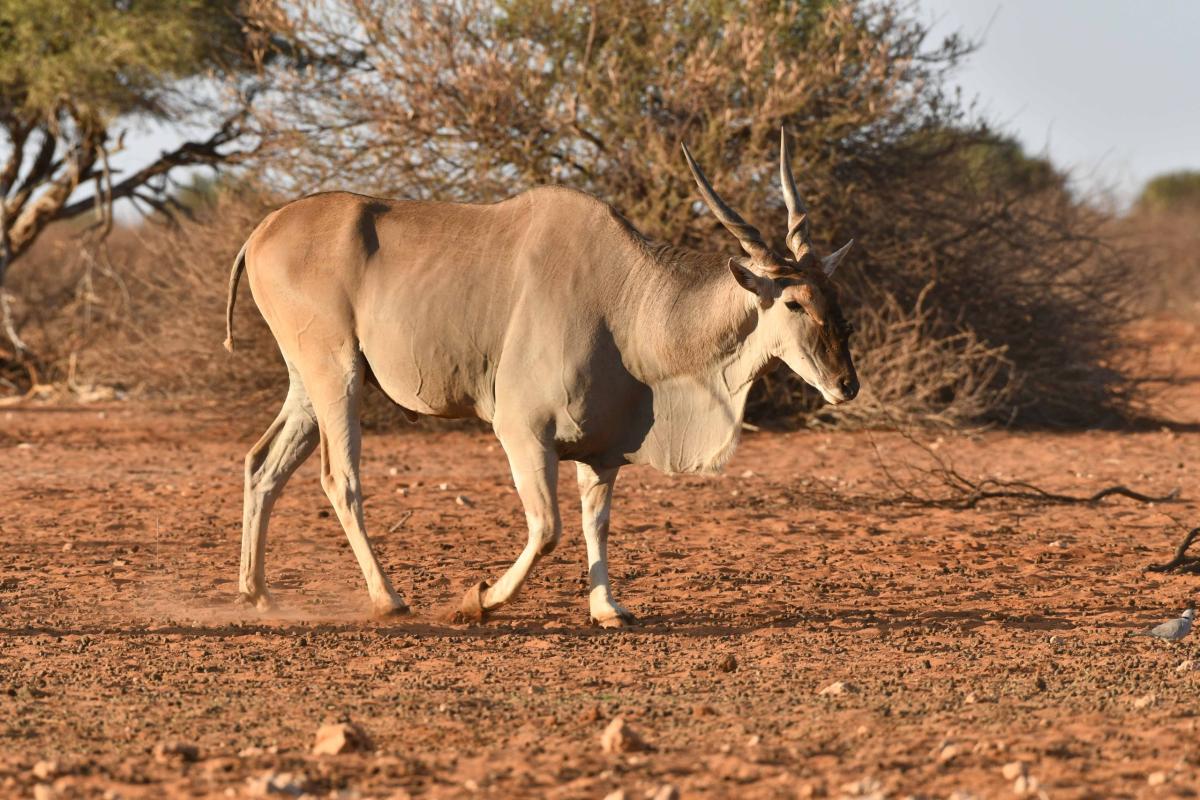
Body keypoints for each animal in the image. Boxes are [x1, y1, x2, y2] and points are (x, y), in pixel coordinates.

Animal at [224, 130, 858, 626]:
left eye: (835, 296)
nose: (846, 384)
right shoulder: (521, 429)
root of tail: (260, 231)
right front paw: (478, 599)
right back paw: (388, 600)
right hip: (337, 374)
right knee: (340, 478)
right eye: (794, 303)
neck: (627, 298)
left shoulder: (600, 451)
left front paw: (608, 609)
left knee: (262, 464)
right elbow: (548, 527)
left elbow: (595, 521)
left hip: (308, 384)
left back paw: (257, 593)